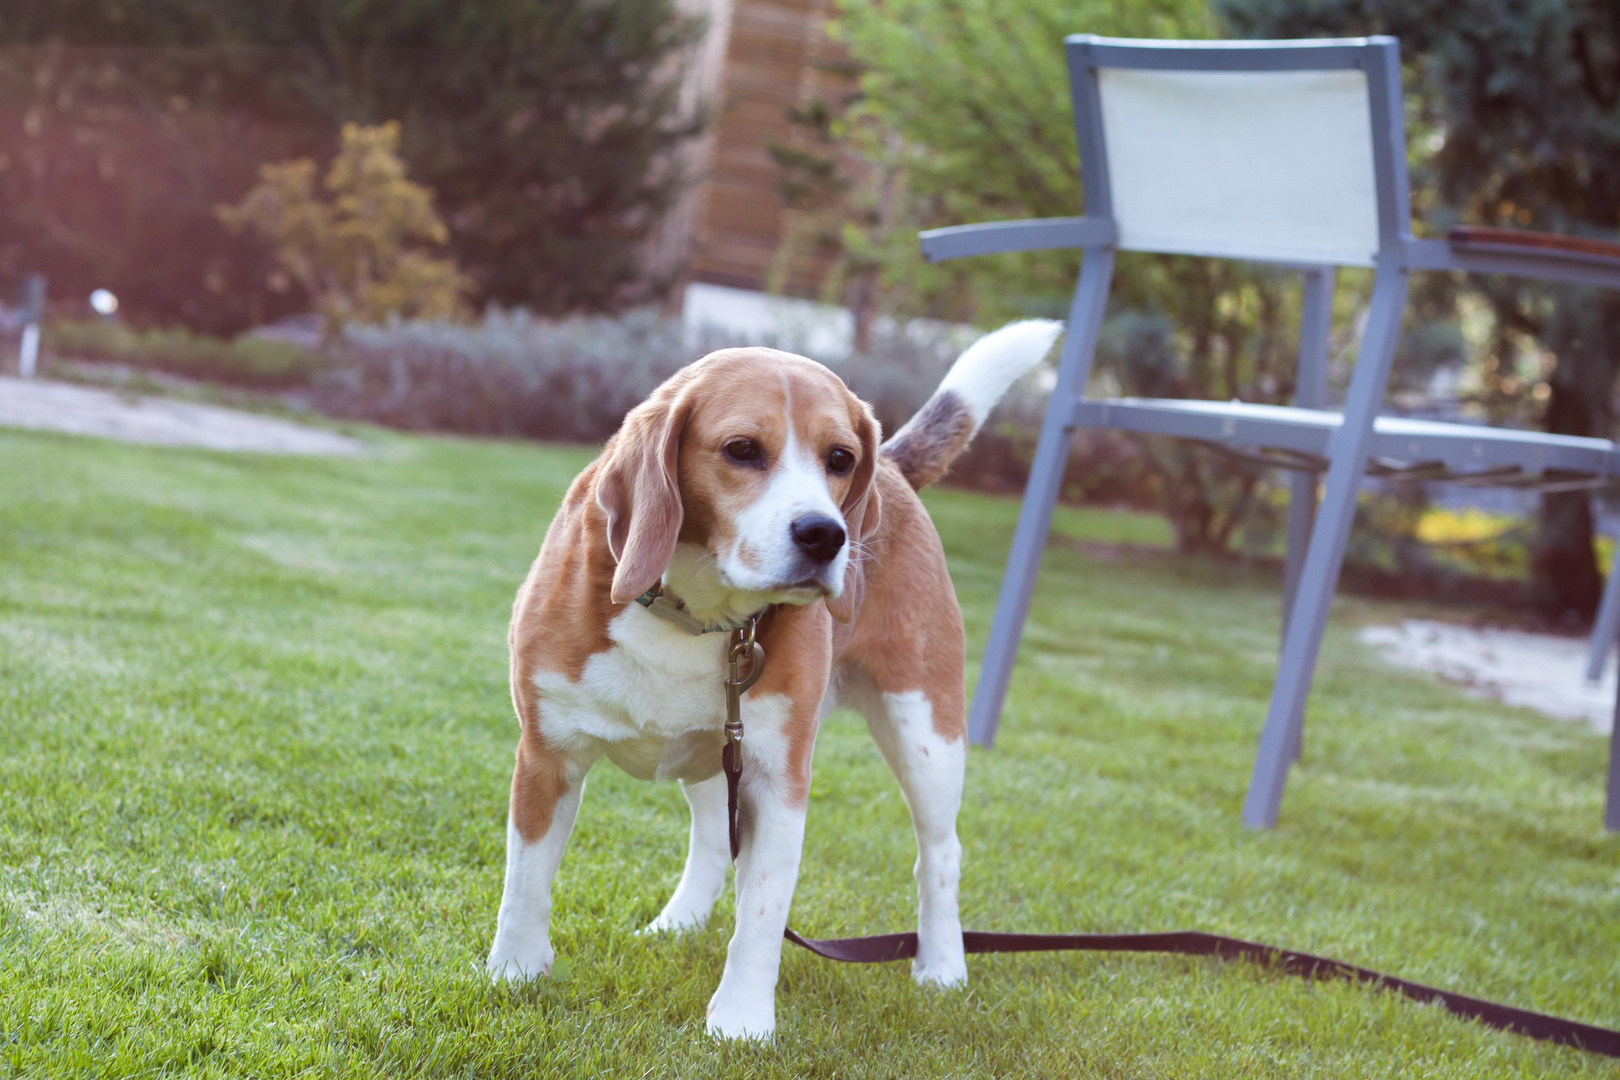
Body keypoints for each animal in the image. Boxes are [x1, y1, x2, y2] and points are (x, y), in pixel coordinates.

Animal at [479, 318, 1062, 1036]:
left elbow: (760, 916)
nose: (826, 535)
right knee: (711, 837)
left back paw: (942, 965)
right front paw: (514, 971)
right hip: (718, 751)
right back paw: (678, 923)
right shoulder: (547, 754)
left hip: (927, 729)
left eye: (839, 458)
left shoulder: (779, 779)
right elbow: (525, 882)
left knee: (940, 852)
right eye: (742, 450)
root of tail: (894, 467)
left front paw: (742, 1022)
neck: (692, 614)